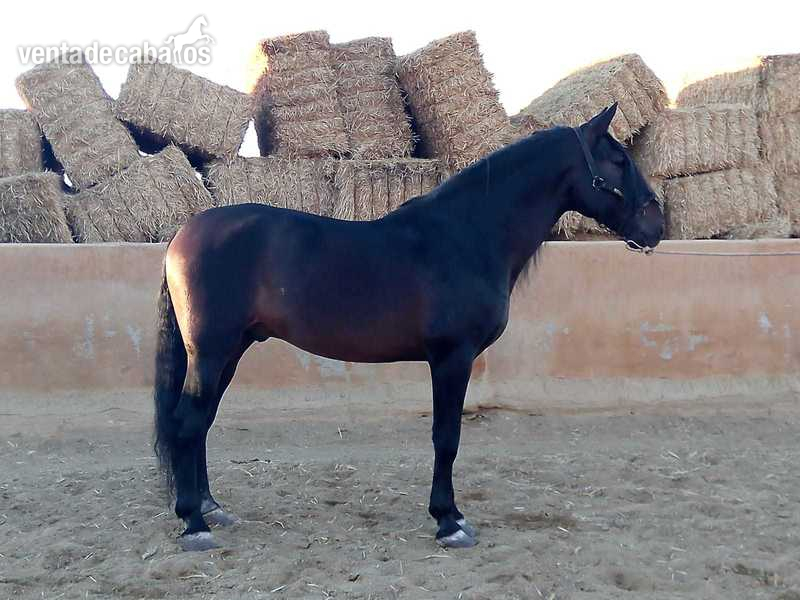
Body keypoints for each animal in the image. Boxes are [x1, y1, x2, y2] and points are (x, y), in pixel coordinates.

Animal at [153, 103, 665, 551]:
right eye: (619, 161)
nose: (656, 224)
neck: (466, 236)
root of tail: (184, 233)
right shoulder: (452, 358)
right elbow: (446, 436)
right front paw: (449, 521)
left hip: (230, 351)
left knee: (200, 422)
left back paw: (212, 508)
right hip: (213, 352)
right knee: (188, 421)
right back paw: (195, 524)